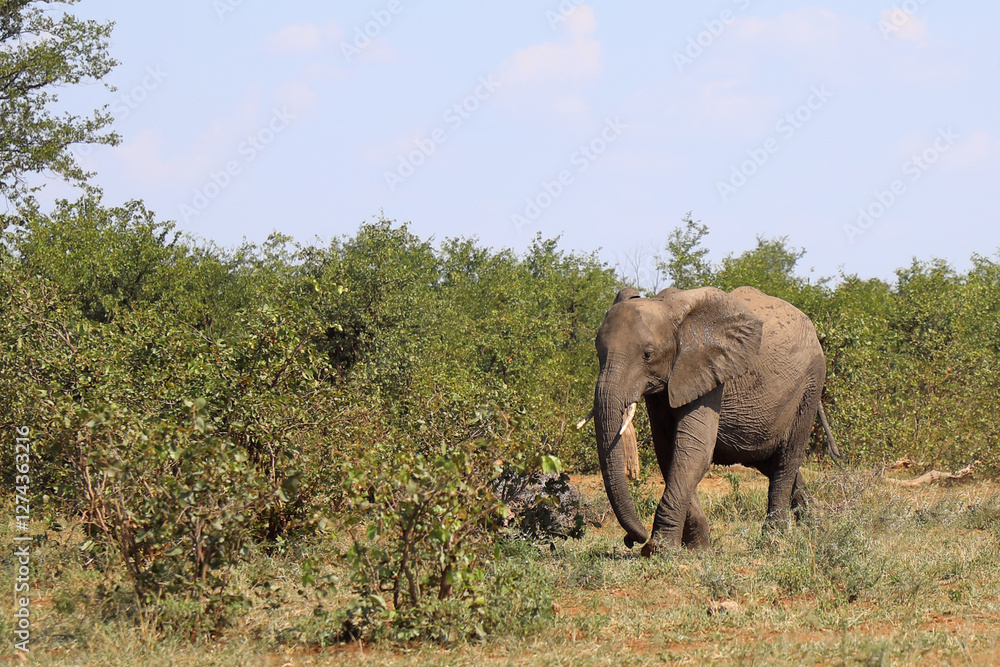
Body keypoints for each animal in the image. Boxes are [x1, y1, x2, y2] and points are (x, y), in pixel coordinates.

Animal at [587, 285, 839, 555]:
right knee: (772, 462)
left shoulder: (709, 371)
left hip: (810, 385)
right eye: (598, 353)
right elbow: (668, 451)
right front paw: (698, 549)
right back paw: (816, 529)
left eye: (647, 355)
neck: (668, 309)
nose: (633, 539)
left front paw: (658, 549)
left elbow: (694, 450)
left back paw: (775, 541)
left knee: (787, 460)